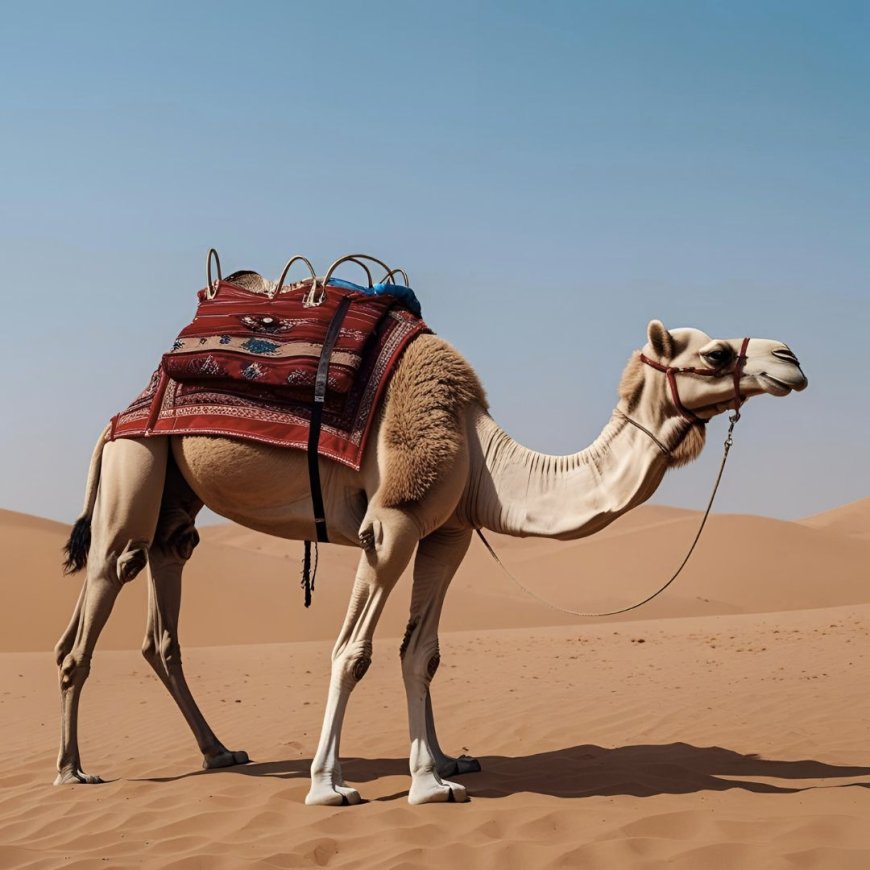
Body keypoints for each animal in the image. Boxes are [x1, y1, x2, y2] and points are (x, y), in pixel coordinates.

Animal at [56, 319, 807, 805]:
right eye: (715, 354)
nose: (791, 357)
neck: (482, 455)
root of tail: (118, 414)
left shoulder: (447, 535)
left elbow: (423, 652)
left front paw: (439, 770)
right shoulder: (390, 523)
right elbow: (352, 652)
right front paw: (330, 785)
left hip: (174, 503)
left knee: (164, 613)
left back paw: (219, 752)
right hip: (134, 468)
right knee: (91, 613)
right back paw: (73, 771)